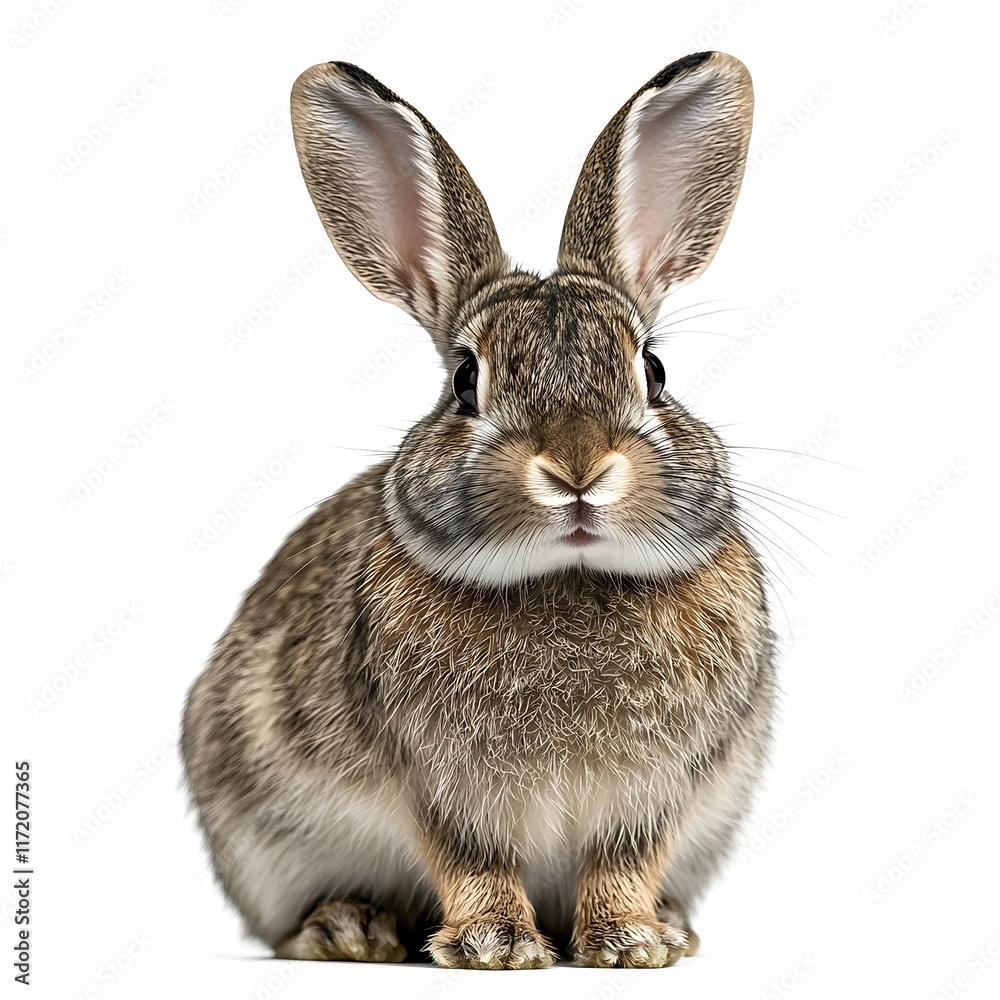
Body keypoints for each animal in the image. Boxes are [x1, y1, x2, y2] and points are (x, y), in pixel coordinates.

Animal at [181, 50, 777, 970]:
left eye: (654, 371)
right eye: (466, 380)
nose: (577, 471)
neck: (568, 577)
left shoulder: (655, 796)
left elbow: (624, 863)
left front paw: (631, 945)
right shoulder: (442, 791)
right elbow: (472, 861)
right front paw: (498, 948)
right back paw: (350, 928)